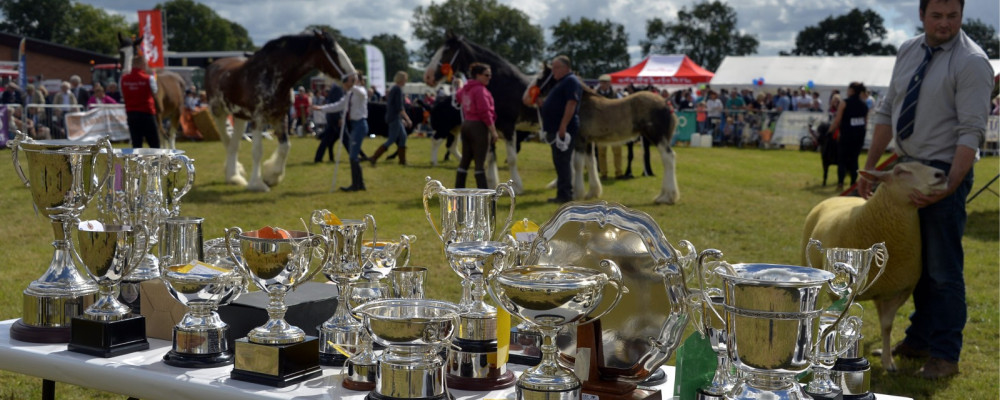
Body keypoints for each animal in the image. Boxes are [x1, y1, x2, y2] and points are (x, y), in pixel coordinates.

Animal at [205, 30, 358, 191]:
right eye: (333, 51)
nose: (353, 78)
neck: (272, 76)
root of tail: (213, 65)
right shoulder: (258, 119)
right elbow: (257, 151)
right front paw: (257, 184)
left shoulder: (280, 117)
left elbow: (285, 147)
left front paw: (271, 176)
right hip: (219, 114)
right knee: (227, 141)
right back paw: (233, 175)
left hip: (240, 116)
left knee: (234, 144)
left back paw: (235, 176)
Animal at [422, 31, 540, 194]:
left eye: (447, 51)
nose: (428, 76)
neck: (505, 84)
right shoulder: (491, 127)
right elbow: (490, 157)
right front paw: (491, 184)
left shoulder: (508, 127)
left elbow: (511, 159)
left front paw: (517, 186)